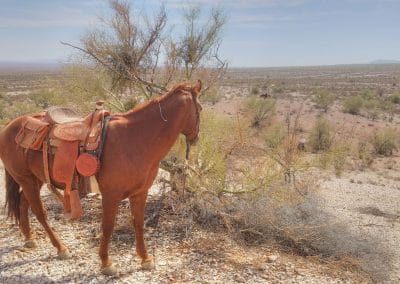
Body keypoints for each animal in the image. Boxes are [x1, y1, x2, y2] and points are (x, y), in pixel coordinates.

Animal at [0, 80, 203, 276]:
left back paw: (29, 238)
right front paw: (106, 263)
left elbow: (138, 223)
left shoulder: (140, 193)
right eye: (200, 108)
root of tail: (10, 126)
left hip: (36, 179)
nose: (196, 138)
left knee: (23, 203)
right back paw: (61, 248)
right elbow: (108, 226)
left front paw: (145, 259)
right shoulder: (111, 195)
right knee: (39, 211)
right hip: (25, 179)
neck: (135, 140)